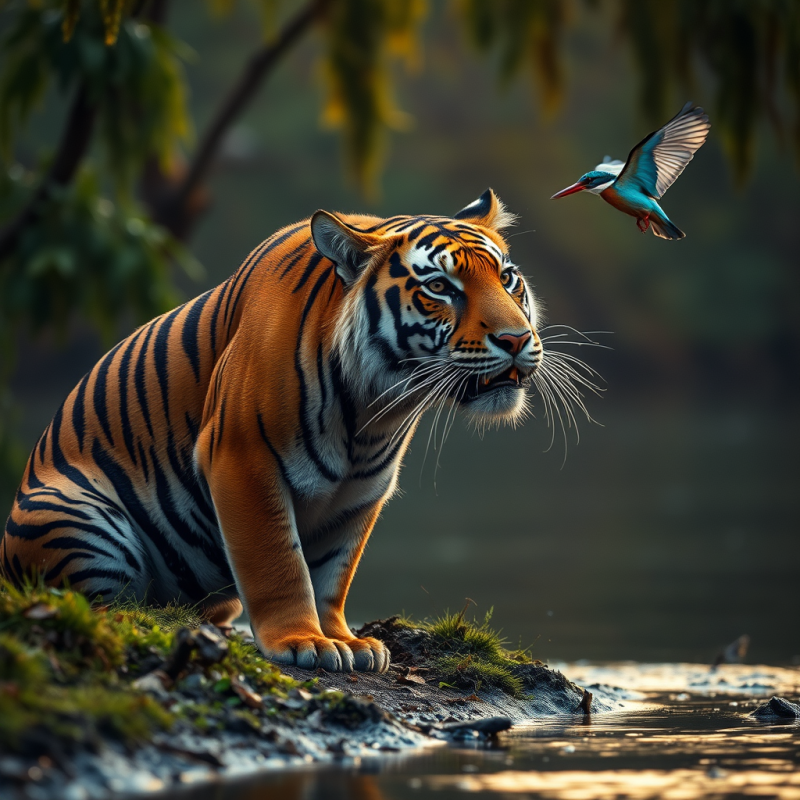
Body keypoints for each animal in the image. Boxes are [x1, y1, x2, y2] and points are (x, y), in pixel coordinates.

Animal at [2, 189, 546, 673]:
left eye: (508, 279)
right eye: (440, 288)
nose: (517, 338)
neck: (373, 409)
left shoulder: (363, 490)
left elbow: (333, 573)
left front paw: (346, 640)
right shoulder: (240, 459)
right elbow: (278, 561)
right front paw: (303, 642)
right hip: (71, 515)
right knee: (98, 605)